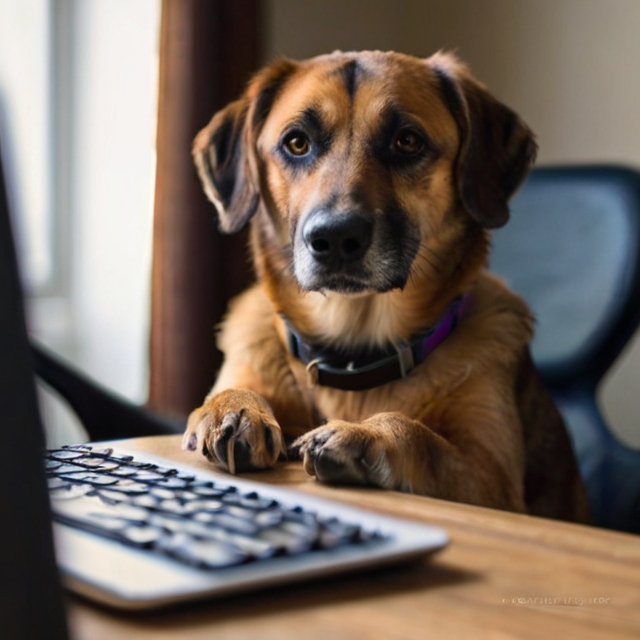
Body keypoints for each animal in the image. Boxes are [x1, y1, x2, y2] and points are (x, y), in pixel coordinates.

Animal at [180, 48, 592, 520]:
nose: (335, 238)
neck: (354, 353)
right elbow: (234, 392)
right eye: (297, 143)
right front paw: (234, 407)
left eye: (407, 141)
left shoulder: (493, 480)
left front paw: (367, 434)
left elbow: (425, 440)